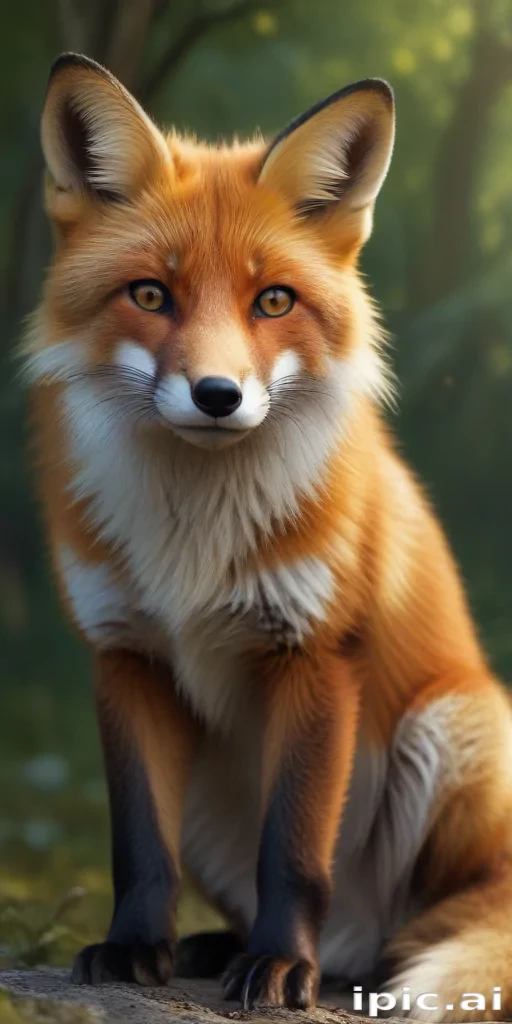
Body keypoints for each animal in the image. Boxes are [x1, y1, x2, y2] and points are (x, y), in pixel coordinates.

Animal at [25, 51, 512, 1020]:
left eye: (273, 300)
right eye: (151, 294)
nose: (218, 395)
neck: (194, 541)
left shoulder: (316, 651)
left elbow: (292, 851)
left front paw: (283, 968)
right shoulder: (126, 653)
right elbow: (139, 846)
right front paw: (134, 950)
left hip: (456, 728)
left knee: (425, 926)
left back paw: (336, 964)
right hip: (215, 802)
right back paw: (219, 947)